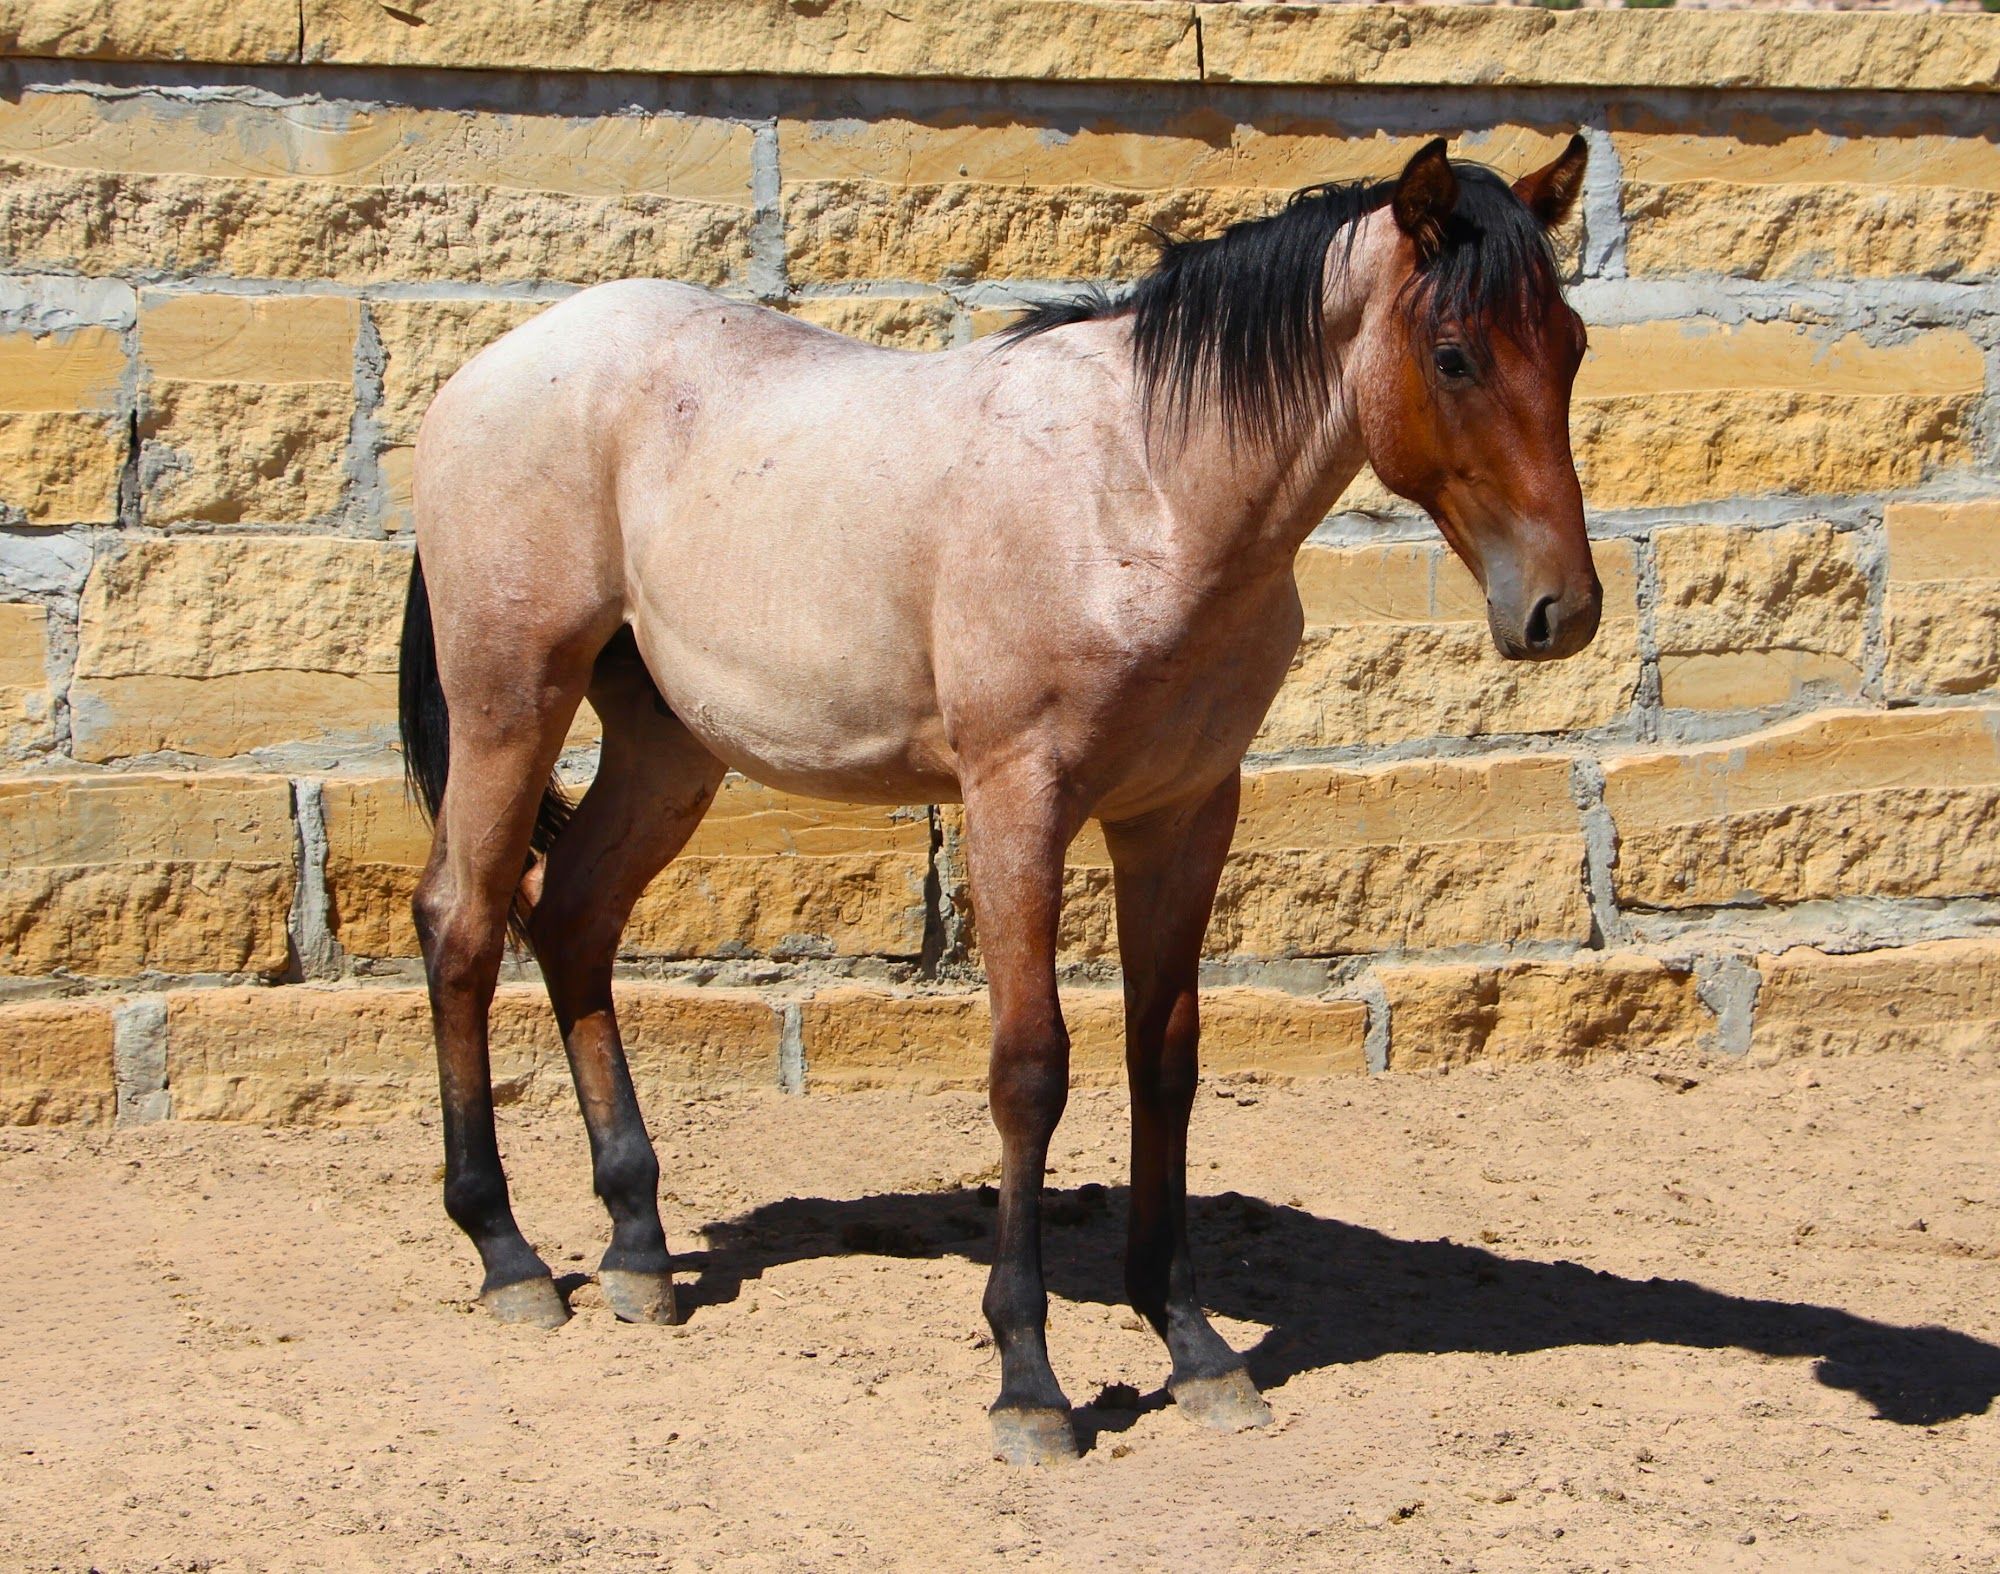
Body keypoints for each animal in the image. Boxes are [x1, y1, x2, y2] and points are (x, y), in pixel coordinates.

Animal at [398, 134, 1601, 1466]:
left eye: (1569, 344)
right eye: (1452, 353)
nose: (1559, 609)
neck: (1140, 495)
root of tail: (489, 370)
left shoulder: (1182, 814)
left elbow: (1163, 1062)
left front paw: (1190, 1344)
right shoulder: (1015, 800)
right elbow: (1030, 1067)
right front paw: (1028, 1379)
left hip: (668, 748)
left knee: (570, 921)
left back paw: (637, 1246)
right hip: (511, 700)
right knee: (462, 921)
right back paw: (506, 1253)